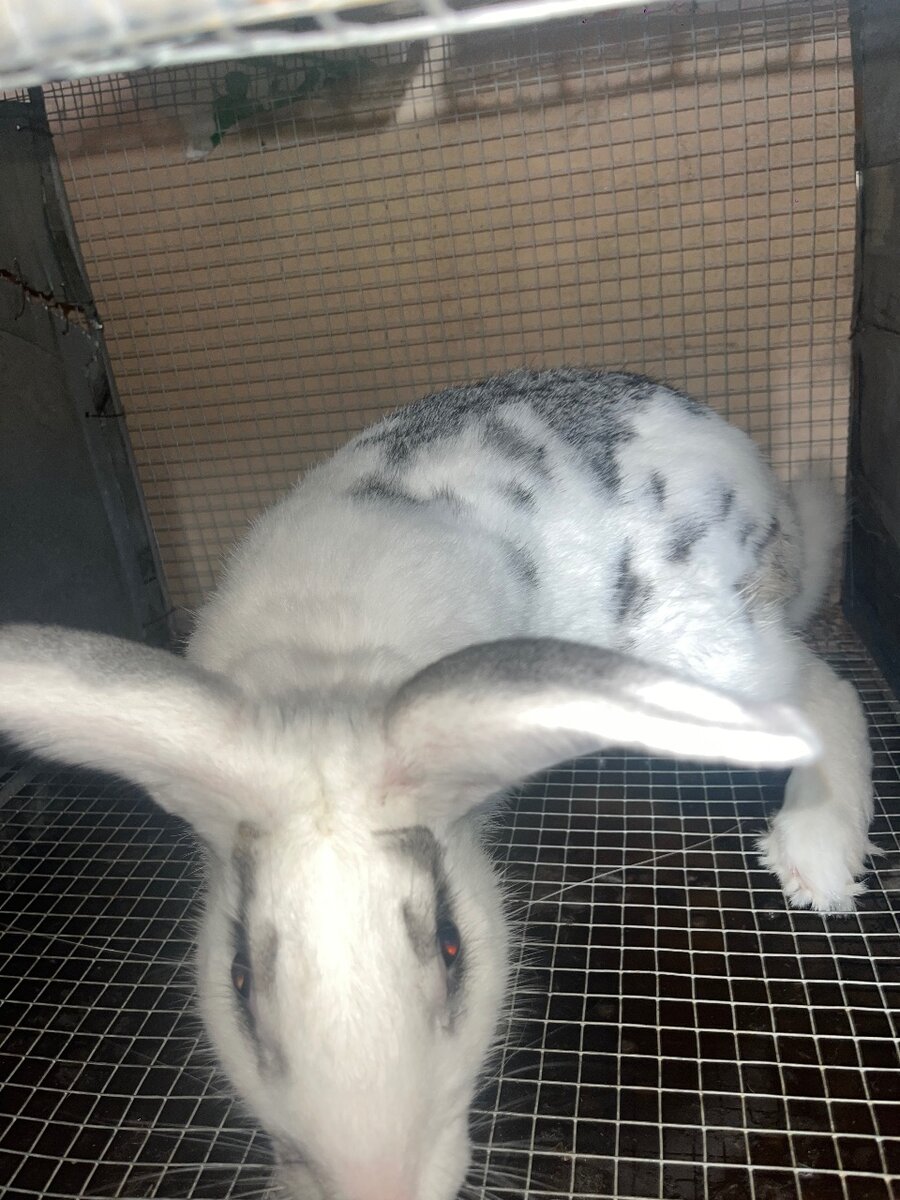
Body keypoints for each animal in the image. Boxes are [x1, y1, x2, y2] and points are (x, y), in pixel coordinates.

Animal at [0, 367, 873, 1200]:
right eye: (239, 979)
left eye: (454, 949)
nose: (377, 1188)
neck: (327, 676)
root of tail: (758, 477)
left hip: (703, 662)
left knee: (823, 689)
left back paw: (817, 862)